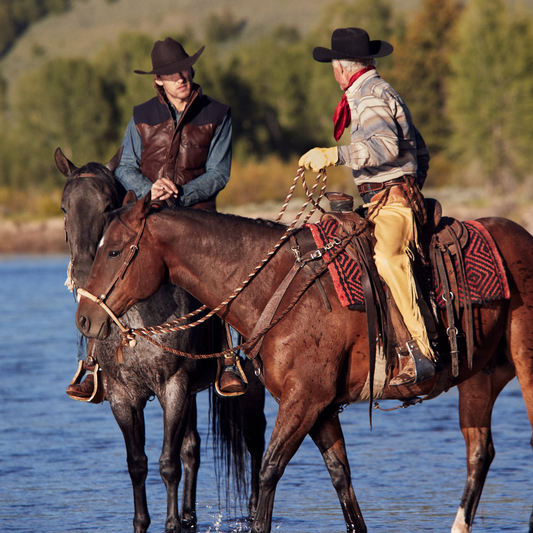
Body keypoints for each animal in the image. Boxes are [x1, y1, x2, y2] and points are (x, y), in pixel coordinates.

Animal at [57, 149, 264, 532]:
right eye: (64, 207)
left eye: (107, 206)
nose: (83, 273)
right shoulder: (123, 397)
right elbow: (138, 463)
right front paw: (144, 522)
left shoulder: (173, 387)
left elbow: (168, 464)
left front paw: (170, 524)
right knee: (192, 448)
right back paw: (189, 514)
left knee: (254, 439)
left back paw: (254, 507)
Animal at [76, 192, 533, 532]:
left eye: (114, 251)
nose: (85, 317)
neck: (276, 287)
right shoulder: (320, 409)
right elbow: (341, 480)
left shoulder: (302, 402)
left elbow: (267, 473)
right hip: (479, 376)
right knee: (479, 454)